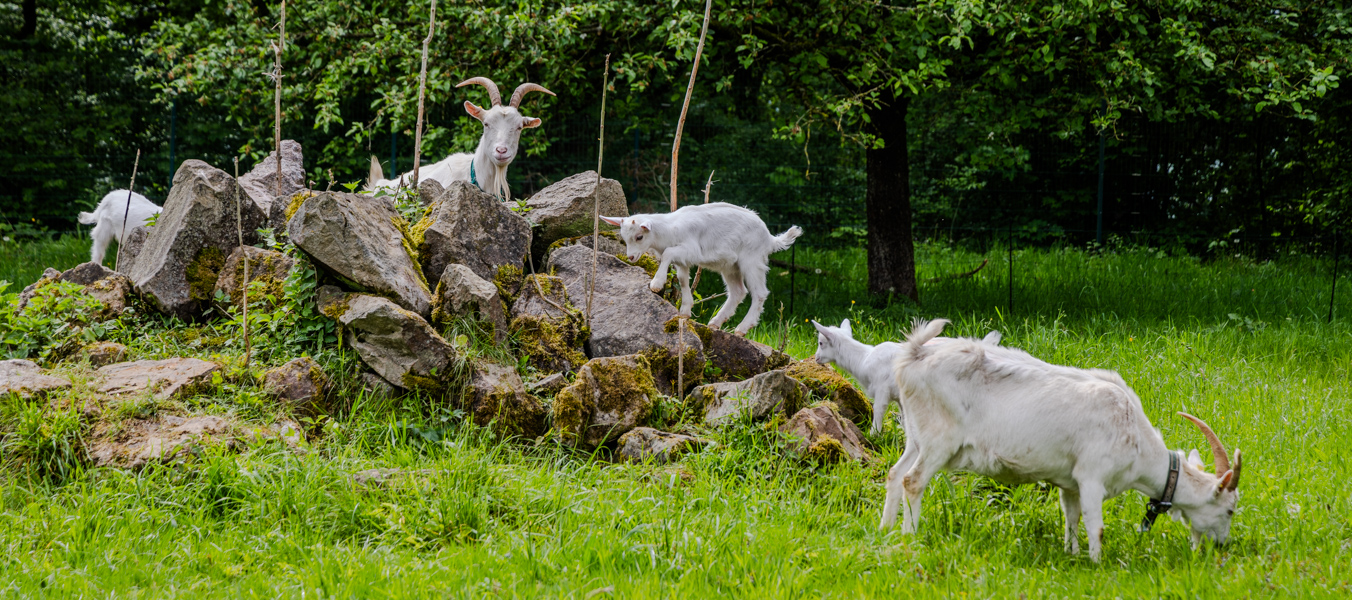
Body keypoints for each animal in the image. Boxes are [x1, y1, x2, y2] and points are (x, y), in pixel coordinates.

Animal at [601, 203, 803, 335]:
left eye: (639, 237)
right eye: (624, 238)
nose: (631, 257)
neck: (669, 230)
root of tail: (770, 238)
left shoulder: (690, 250)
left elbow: (667, 254)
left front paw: (656, 284)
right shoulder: (683, 260)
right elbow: (683, 280)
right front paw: (685, 311)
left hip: (751, 260)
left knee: (759, 293)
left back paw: (741, 329)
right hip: (730, 266)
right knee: (738, 291)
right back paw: (715, 323)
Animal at [810, 318, 1001, 434]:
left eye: (821, 342)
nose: (816, 358)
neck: (864, 359)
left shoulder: (882, 390)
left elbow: (878, 411)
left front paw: (874, 434)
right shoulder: (900, 397)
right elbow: (906, 420)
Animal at [880, 318, 1243, 562]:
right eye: (1229, 510)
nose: (1221, 546)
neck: (1136, 439)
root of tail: (913, 354)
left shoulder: (1069, 482)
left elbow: (1072, 516)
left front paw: (1072, 553)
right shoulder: (1092, 476)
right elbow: (1095, 524)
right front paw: (1097, 563)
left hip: (915, 436)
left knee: (895, 474)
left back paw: (885, 530)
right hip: (939, 442)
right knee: (913, 480)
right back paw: (910, 536)